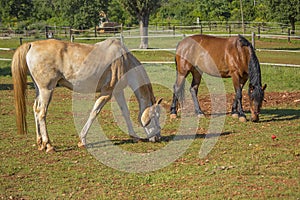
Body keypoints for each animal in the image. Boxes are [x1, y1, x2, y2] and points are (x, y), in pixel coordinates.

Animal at [11, 38, 163, 152]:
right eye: (155, 117)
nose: (158, 138)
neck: (123, 60)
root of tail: (32, 44)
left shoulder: (117, 91)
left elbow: (125, 112)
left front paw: (134, 136)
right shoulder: (107, 93)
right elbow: (94, 112)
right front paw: (82, 141)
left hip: (39, 90)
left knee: (35, 110)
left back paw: (40, 143)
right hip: (47, 90)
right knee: (42, 113)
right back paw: (49, 145)